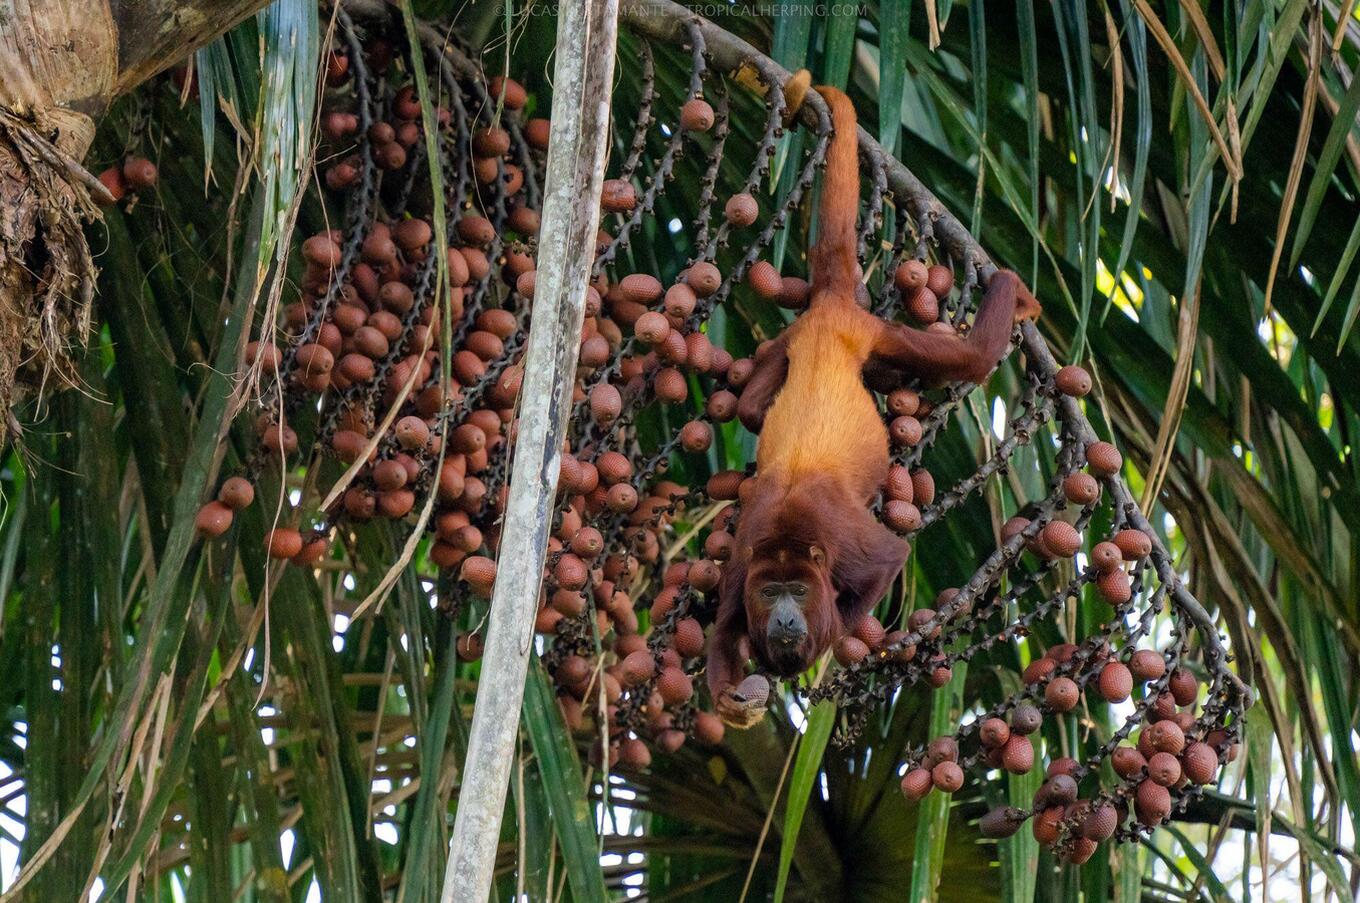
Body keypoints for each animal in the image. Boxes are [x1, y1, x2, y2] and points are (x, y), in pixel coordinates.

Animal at [707, 75, 1033, 728]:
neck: (791, 539)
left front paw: (835, 635)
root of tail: (834, 308)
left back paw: (1011, 291)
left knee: (970, 359)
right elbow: (722, 634)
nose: (785, 616)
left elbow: (889, 557)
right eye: (770, 593)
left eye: (797, 592)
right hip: (800, 335)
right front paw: (734, 702)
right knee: (754, 408)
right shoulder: (742, 569)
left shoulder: (848, 547)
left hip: (874, 330)